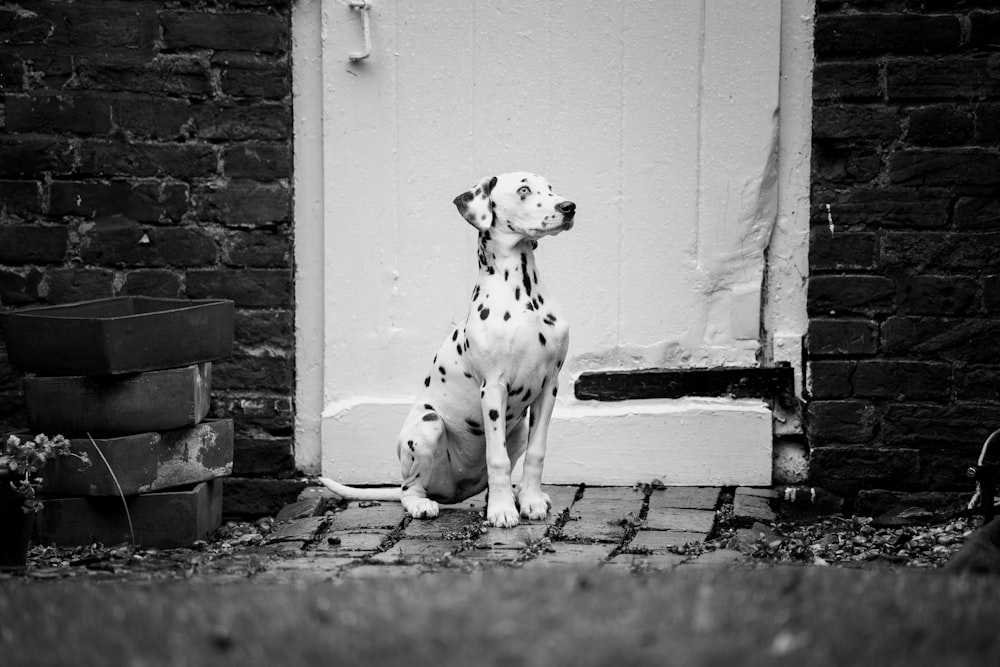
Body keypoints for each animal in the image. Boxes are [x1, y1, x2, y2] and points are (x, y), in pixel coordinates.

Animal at [316, 175, 576, 528]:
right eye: (523, 189)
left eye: (550, 187)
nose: (569, 207)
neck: (522, 295)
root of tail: (450, 490)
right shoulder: (493, 388)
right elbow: (498, 458)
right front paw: (502, 510)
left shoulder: (549, 386)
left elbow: (537, 453)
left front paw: (531, 500)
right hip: (428, 425)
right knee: (409, 489)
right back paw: (422, 504)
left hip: (519, 429)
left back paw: (517, 493)